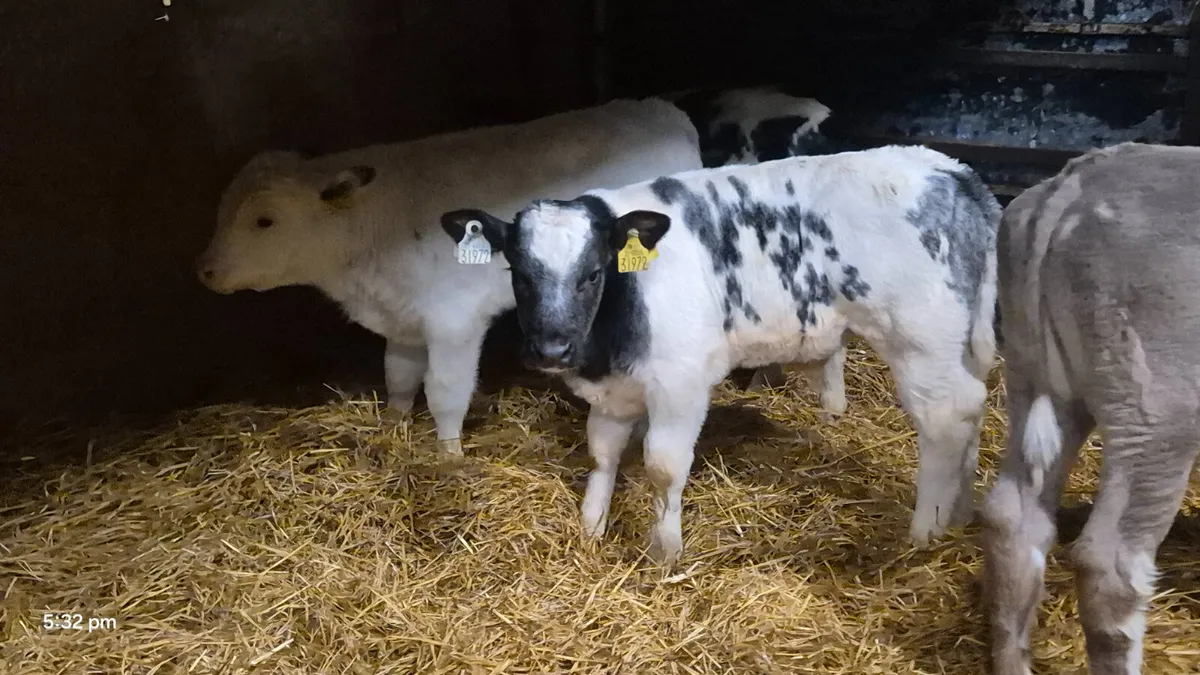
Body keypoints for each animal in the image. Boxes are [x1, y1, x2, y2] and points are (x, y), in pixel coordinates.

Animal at [440, 143, 1001, 565]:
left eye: (594, 272)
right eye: (518, 273)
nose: (552, 348)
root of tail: (952, 171)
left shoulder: (680, 383)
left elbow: (663, 466)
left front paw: (664, 551)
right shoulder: (616, 391)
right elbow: (602, 452)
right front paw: (590, 526)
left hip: (920, 341)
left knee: (947, 417)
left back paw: (926, 530)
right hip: (956, 345)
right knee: (972, 408)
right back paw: (959, 512)